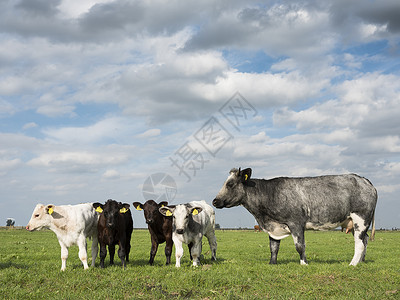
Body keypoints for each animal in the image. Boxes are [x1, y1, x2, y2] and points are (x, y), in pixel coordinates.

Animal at [212, 168, 378, 266]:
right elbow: (273, 247)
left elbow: (300, 246)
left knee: (360, 243)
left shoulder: (296, 223)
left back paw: (353, 264)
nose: (215, 201)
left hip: (361, 219)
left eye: (230, 184)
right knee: (365, 240)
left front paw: (304, 263)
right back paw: (361, 261)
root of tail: (364, 180)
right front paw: (272, 263)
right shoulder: (274, 226)